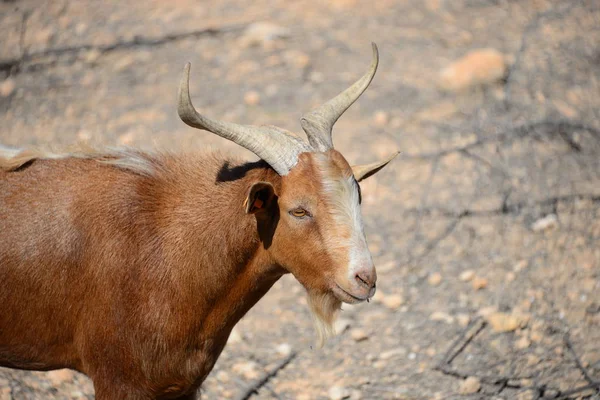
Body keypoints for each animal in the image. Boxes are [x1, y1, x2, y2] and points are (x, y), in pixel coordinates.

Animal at [1, 42, 398, 398]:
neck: (163, 244)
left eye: (358, 195)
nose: (364, 278)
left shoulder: (182, 385)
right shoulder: (118, 381)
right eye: (298, 210)